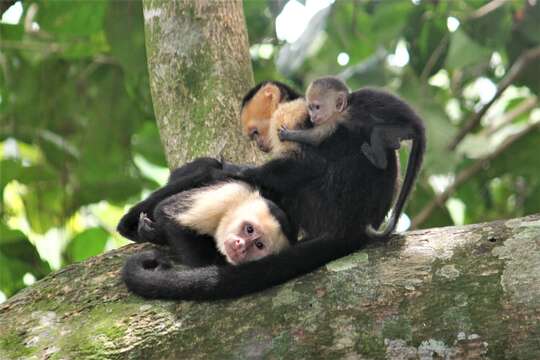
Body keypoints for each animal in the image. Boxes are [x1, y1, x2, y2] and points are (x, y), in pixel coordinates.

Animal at [278, 76, 426, 239]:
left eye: (316, 107)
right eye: (310, 108)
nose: (312, 117)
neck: (346, 105)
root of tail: (419, 126)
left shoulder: (336, 118)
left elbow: (316, 138)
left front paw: (288, 134)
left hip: (402, 129)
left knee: (378, 132)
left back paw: (376, 157)